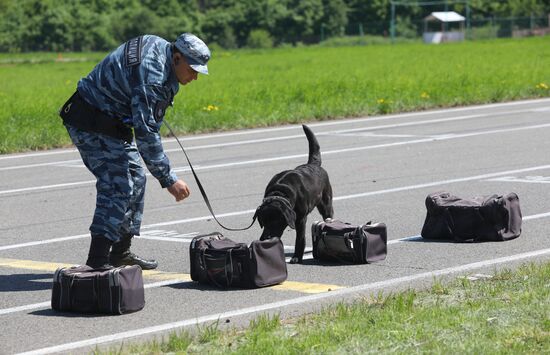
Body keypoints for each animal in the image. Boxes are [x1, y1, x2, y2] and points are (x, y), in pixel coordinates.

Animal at [256, 125, 336, 264]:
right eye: (263, 221)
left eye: (276, 221)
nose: (265, 238)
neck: (280, 192)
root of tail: (313, 164)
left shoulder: (300, 219)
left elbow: (300, 238)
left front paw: (297, 256)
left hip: (326, 203)